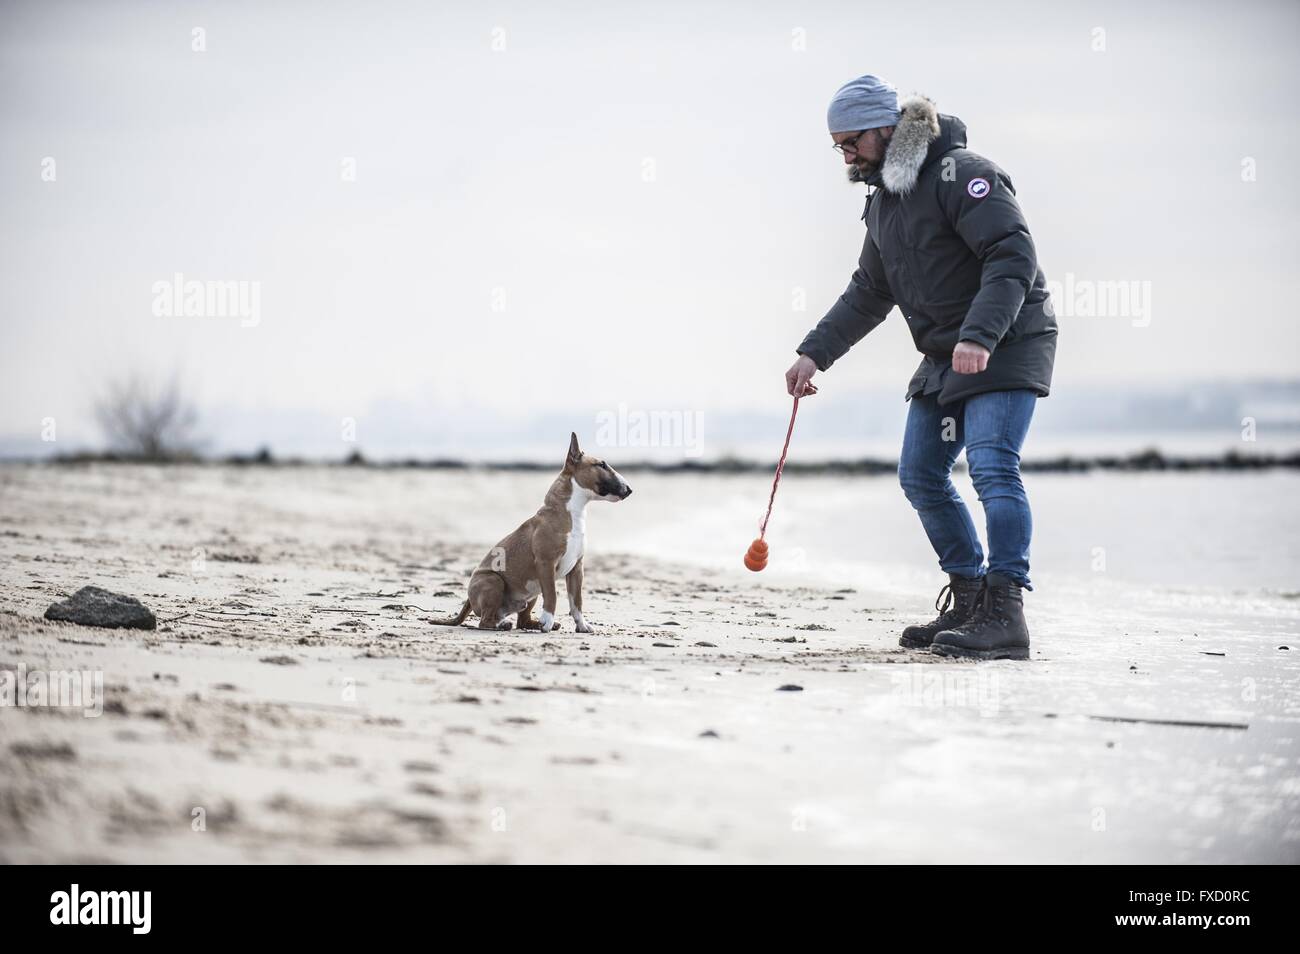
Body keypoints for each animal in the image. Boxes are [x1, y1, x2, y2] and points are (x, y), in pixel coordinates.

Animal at [434, 434, 631, 634]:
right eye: (601, 464)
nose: (629, 489)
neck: (570, 511)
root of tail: (468, 599)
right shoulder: (546, 563)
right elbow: (552, 595)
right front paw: (548, 621)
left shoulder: (577, 568)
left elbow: (577, 601)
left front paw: (581, 625)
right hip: (493, 580)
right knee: (485, 621)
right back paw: (502, 625)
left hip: (531, 593)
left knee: (522, 620)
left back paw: (533, 624)